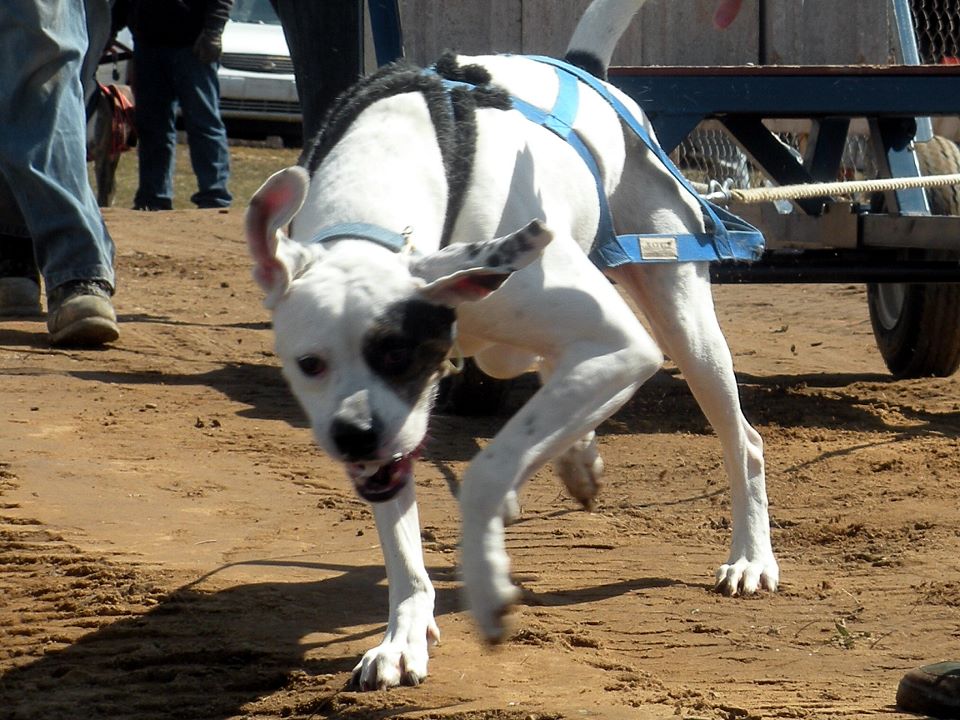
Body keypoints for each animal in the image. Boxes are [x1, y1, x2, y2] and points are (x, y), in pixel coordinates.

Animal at [244, 0, 776, 692]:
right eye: (309, 364)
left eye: (400, 354)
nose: (354, 436)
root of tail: (582, 67)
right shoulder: (397, 438)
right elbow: (405, 539)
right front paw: (403, 633)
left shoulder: (621, 344)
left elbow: (485, 471)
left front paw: (487, 578)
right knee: (533, 374)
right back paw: (575, 454)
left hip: (682, 316)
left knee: (743, 441)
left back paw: (750, 556)